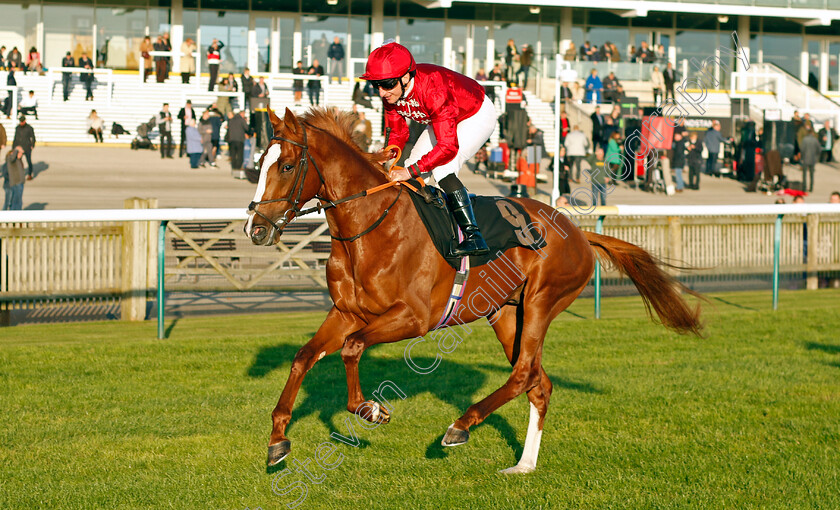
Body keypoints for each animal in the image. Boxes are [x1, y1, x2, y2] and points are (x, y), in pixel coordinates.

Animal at [244, 108, 704, 474]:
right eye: (259, 163)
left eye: (287, 166)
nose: (256, 229)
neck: (371, 226)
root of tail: (577, 231)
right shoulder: (345, 312)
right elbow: (303, 357)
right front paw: (278, 440)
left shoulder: (413, 318)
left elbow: (353, 347)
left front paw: (369, 408)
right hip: (506, 313)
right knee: (539, 382)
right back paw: (523, 465)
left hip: (542, 301)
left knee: (523, 374)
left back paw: (459, 426)